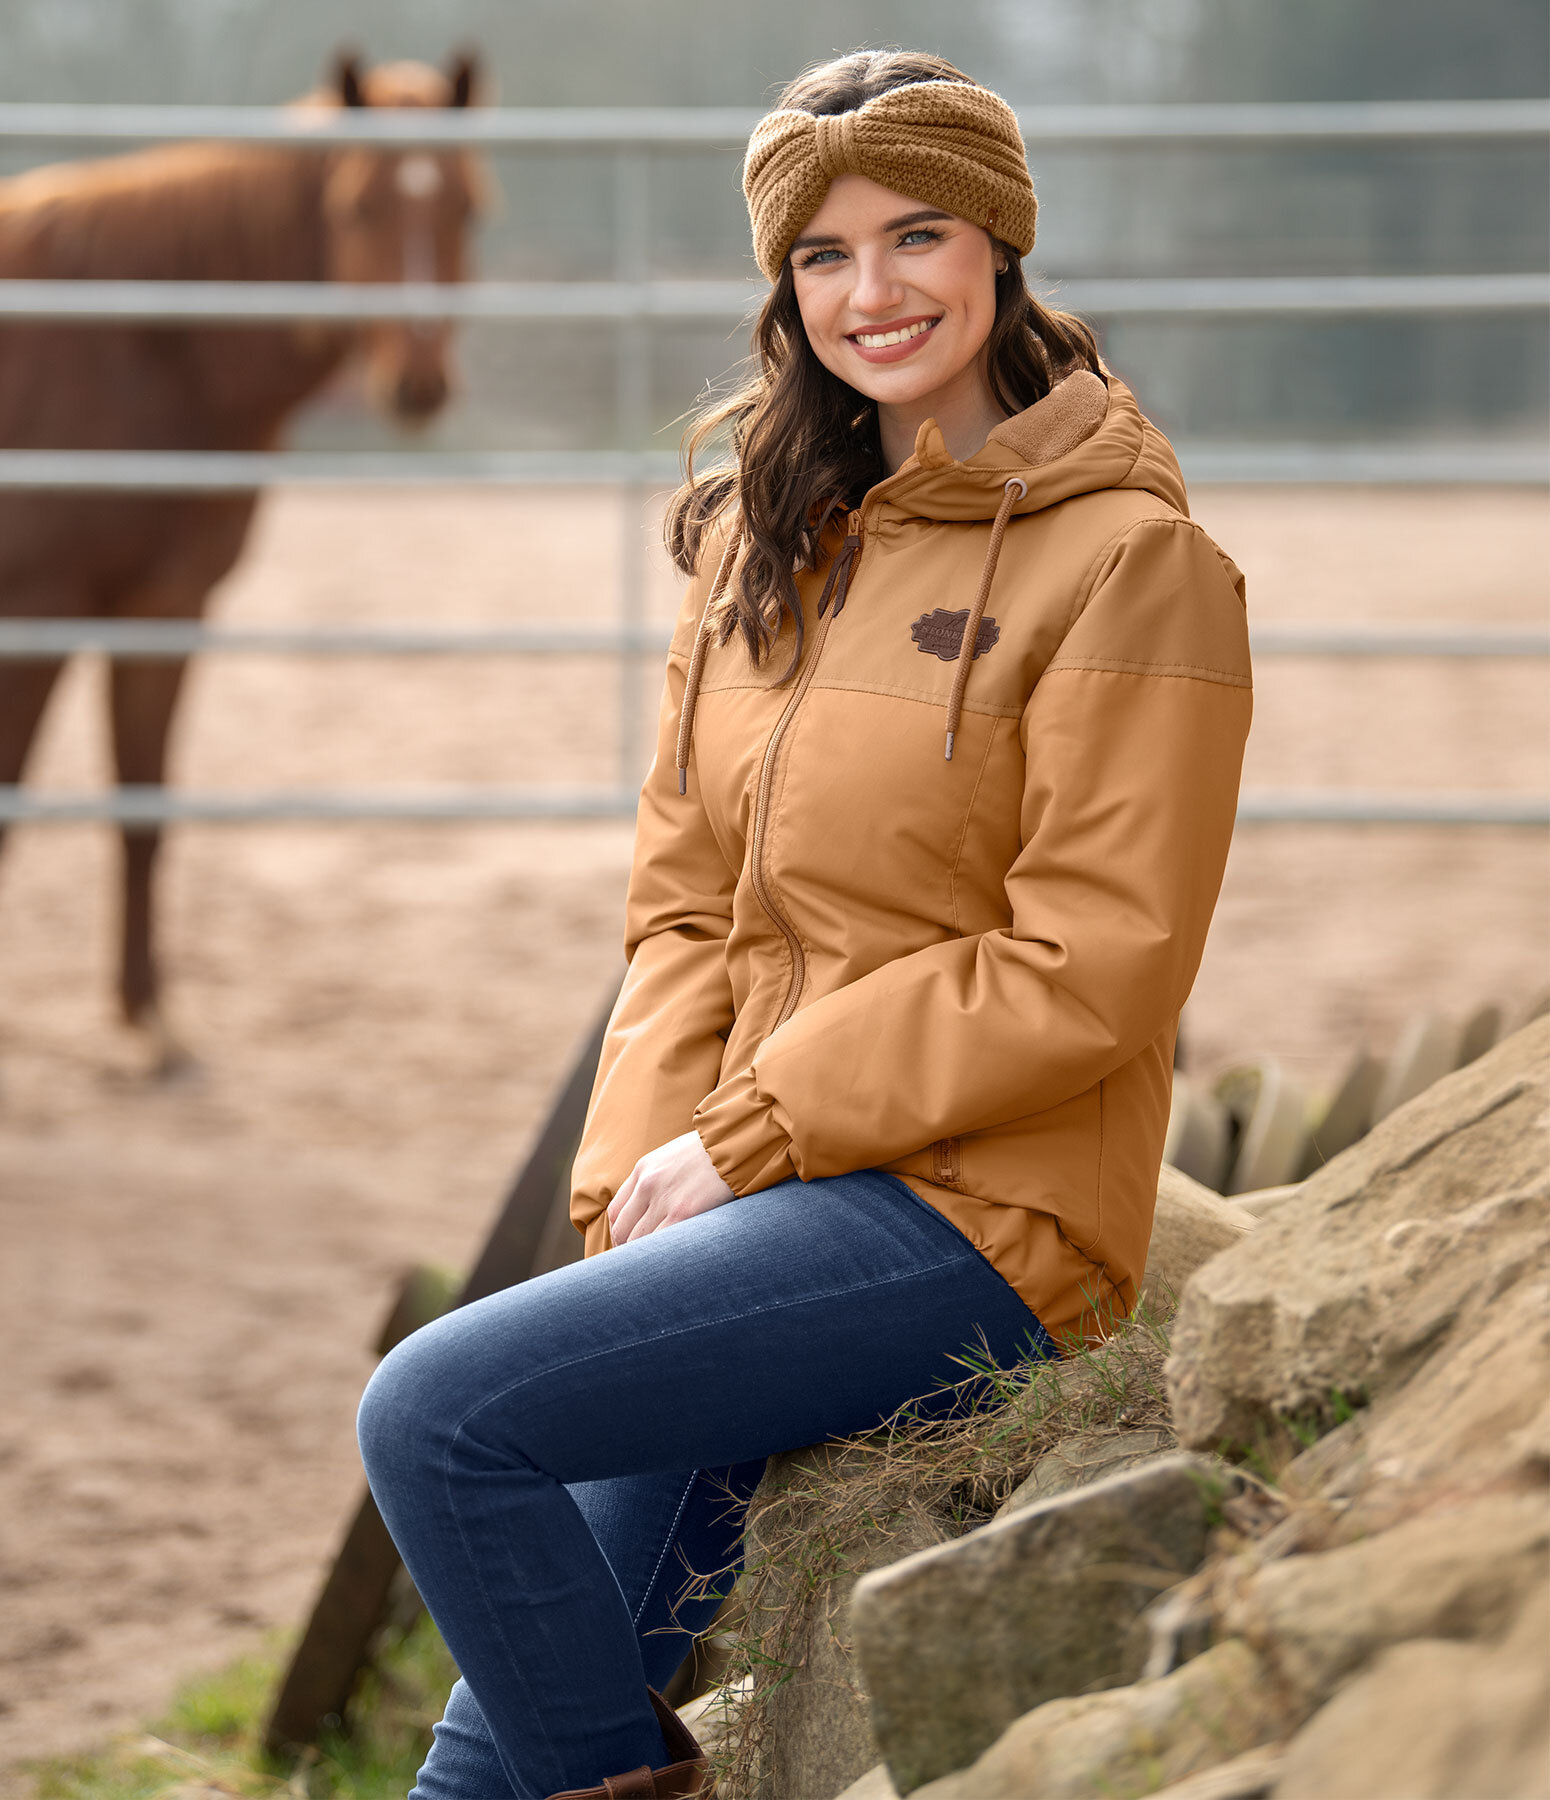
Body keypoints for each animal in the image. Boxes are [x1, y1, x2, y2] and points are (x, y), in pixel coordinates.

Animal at [0, 52, 482, 1065]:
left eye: (464, 207)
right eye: (358, 207)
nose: (416, 385)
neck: (135, 346)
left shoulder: (164, 609)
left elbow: (144, 811)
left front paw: (148, 1018)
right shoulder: (35, 614)